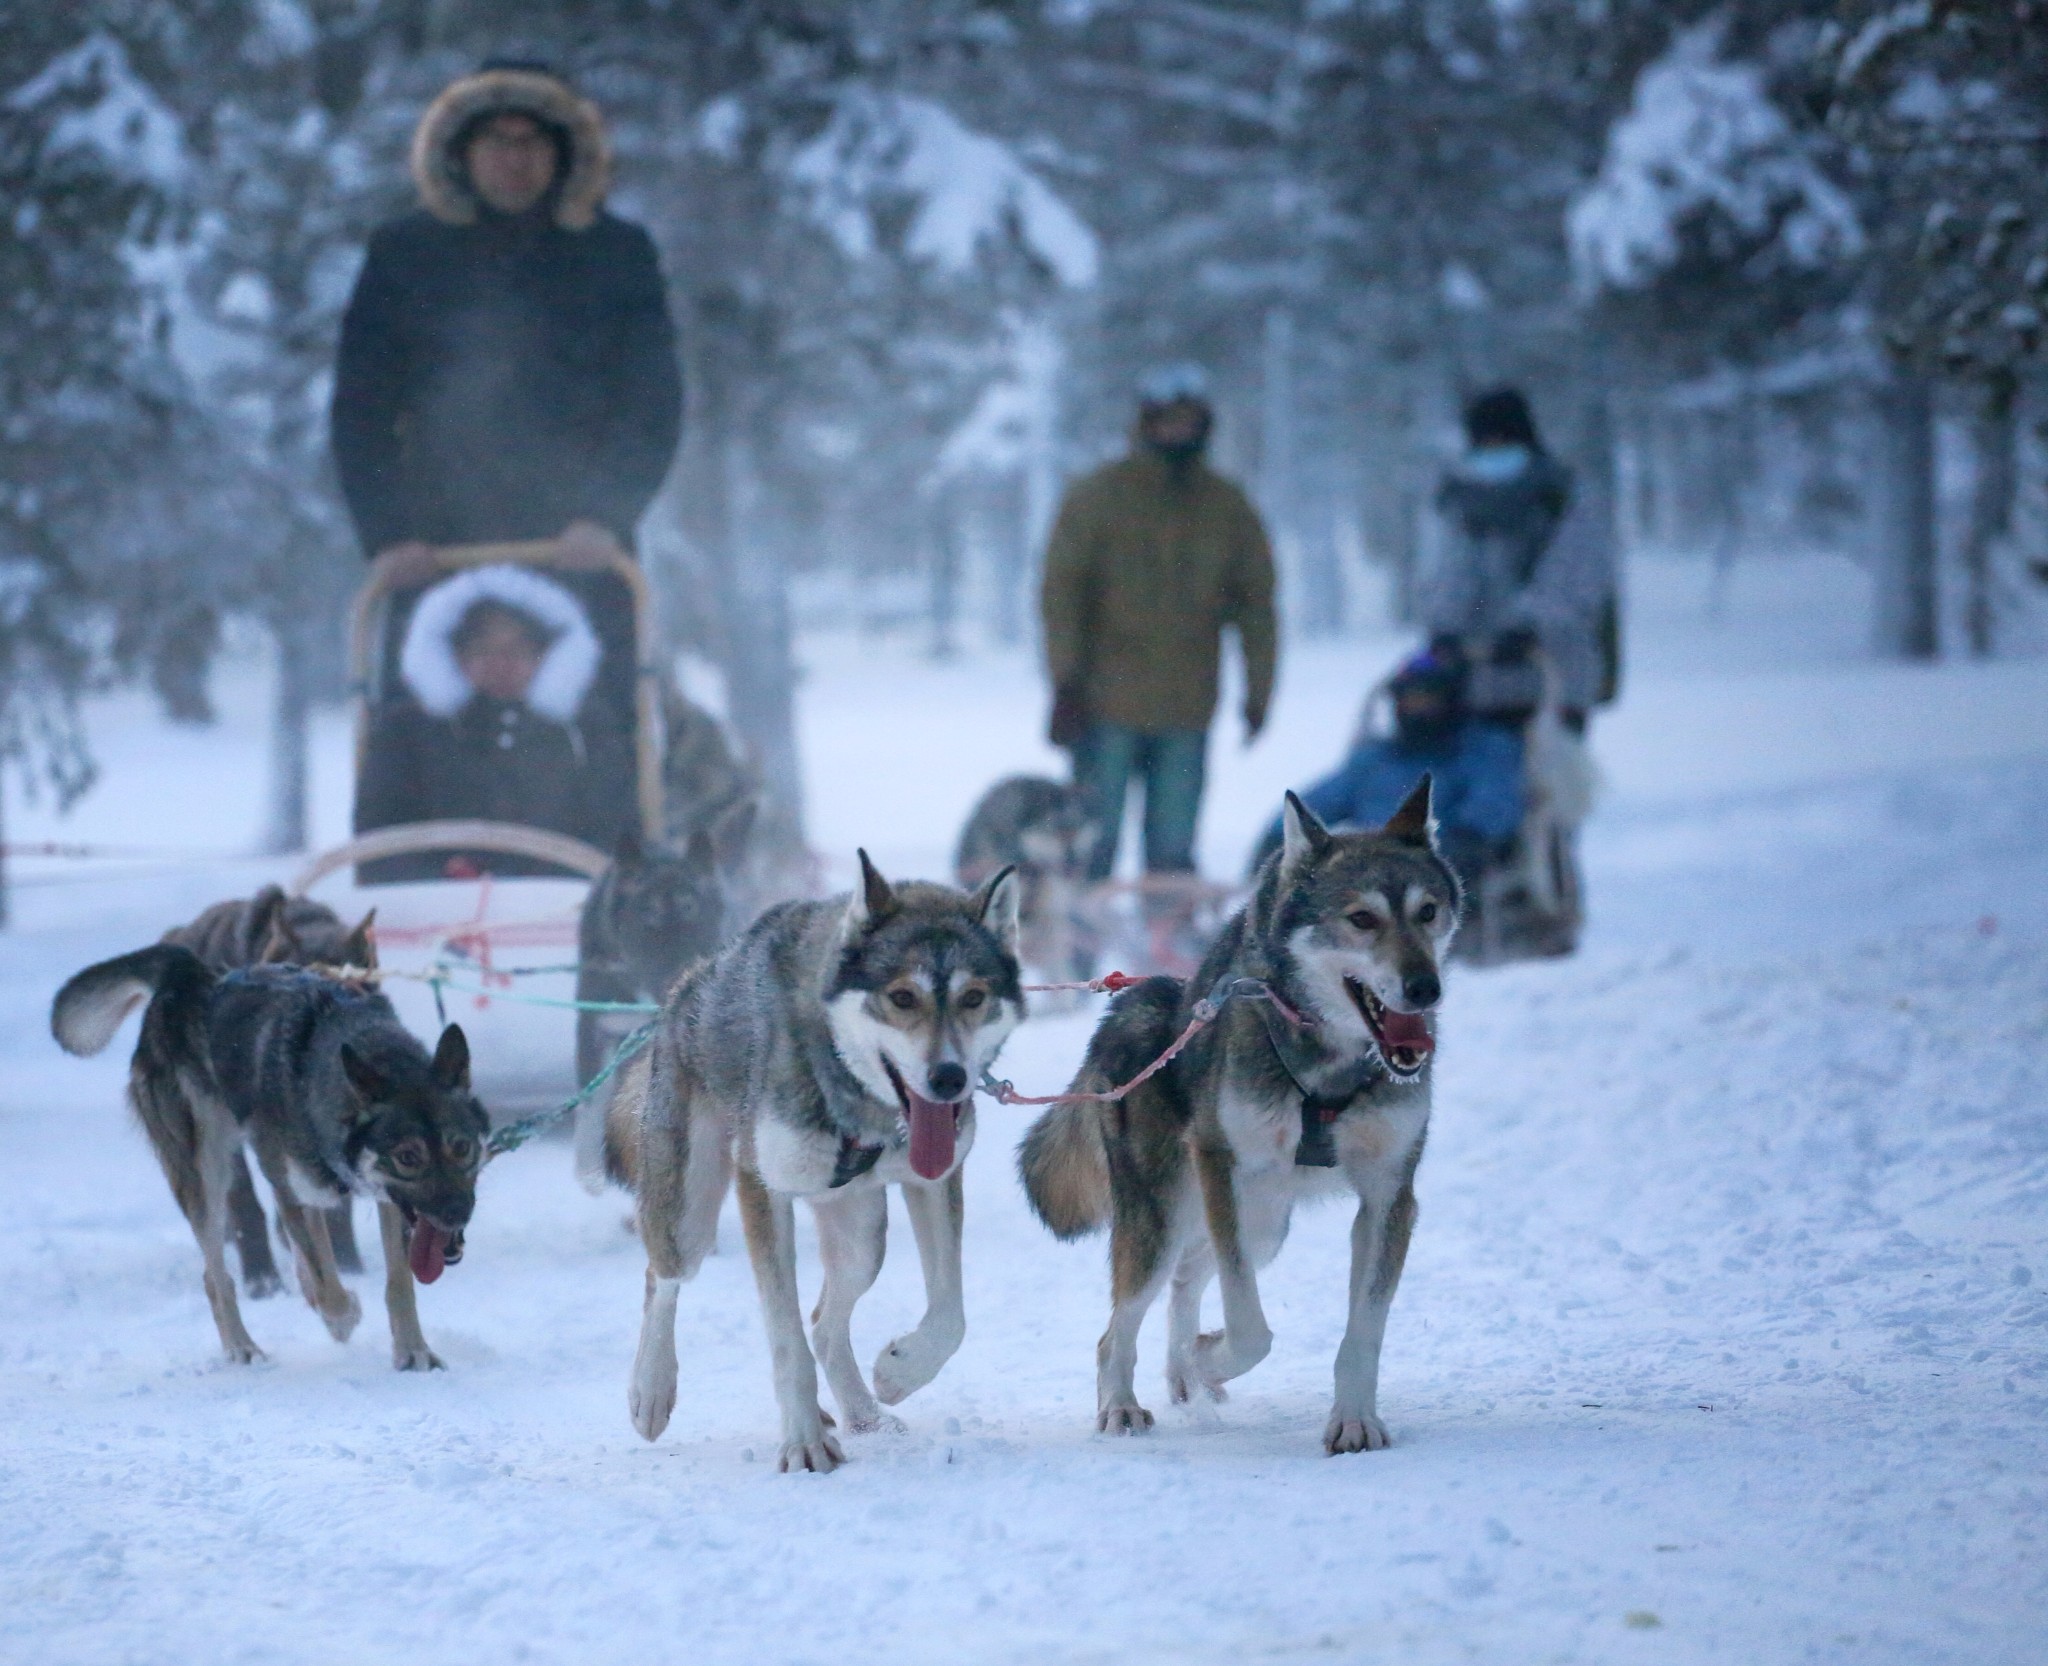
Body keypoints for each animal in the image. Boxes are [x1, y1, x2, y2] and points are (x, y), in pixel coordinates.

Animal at [50, 942, 483, 1368]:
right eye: (408, 1157)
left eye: (462, 1147)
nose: (456, 1214)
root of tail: (188, 972)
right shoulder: (291, 1188)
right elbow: (329, 1287)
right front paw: (342, 1319)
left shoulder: (384, 1200)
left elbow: (397, 1284)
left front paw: (414, 1351)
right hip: (207, 1172)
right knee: (217, 1277)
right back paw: (243, 1347)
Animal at [606, 856, 1024, 1467]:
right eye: (902, 997)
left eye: (973, 997)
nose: (949, 1078)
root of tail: (690, 984)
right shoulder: (762, 1187)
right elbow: (787, 1342)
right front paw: (803, 1441)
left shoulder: (935, 1179)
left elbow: (951, 1314)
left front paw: (900, 1370)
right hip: (688, 1213)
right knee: (661, 1276)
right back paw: (650, 1389)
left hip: (863, 1238)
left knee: (826, 1323)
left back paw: (864, 1414)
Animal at [1015, 782, 1449, 1459]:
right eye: (1362, 918)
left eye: (1428, 912)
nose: (1425, 987)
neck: (1328, 1065)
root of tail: (1143, 1003)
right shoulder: (1221, 1164)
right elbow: (1251, 1329)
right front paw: (1207, 1359)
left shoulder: (1389, 1195)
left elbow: (1363, 1331)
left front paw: (1354, 1420)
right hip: (1170, 1211)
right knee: (1121, 1326)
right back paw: (1122, 1404)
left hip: (1265, 1219)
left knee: (1188, 1278)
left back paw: (1182, 1371)